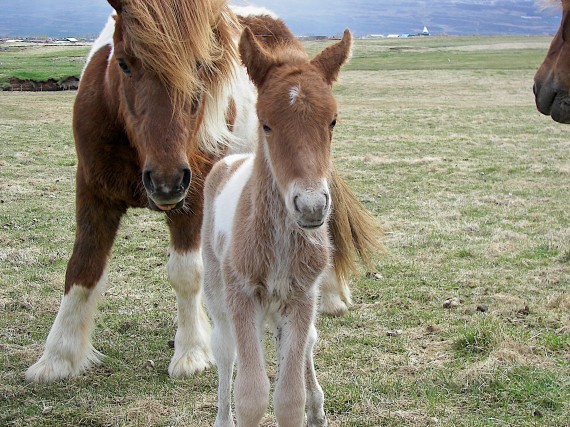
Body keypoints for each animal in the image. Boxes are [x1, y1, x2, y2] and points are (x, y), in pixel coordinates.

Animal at [26, 0, 382, 384]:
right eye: (123, 63)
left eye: (200, 66)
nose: (166, 179)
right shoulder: (94, 193)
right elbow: (83, 267)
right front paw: (58, 357)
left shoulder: (193, 198)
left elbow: (185, 273)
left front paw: (192, 352)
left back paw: (328, 296)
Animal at [200, 25, 350, 427]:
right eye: (266, 123)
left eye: (332, 121)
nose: (312, 206)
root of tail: (230, 160)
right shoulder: (242, 296)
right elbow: (251, 395)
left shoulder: (301, 298)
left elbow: (289, 397)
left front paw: (310, 405)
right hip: (216, 290)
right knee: (225, 352)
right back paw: (222, 417)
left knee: (308, 343)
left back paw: (317, 405)